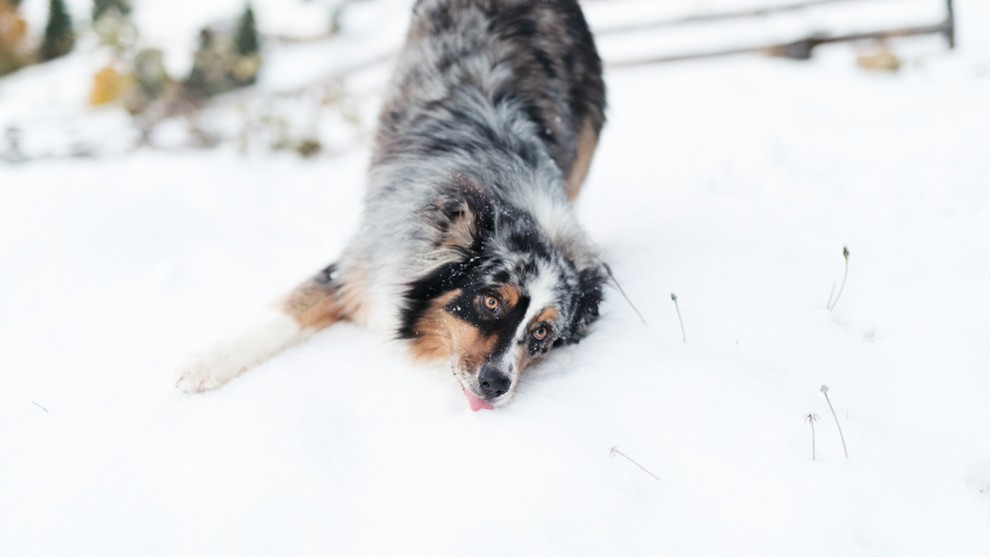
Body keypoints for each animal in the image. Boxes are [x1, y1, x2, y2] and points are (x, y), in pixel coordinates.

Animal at [179, 0, 612, 408]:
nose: (495, 385)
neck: (513, 208)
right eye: (490, 301)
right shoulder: (358, 267)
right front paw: (205, 364)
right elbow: (285, 312)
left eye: (542, 332)